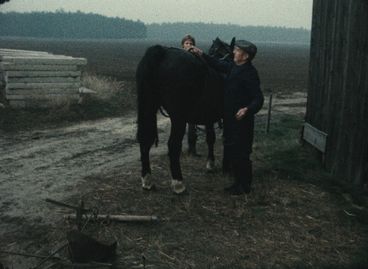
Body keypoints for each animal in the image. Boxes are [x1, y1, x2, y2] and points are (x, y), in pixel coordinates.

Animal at [137, 37, 234, 193]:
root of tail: (162, 52)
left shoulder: (208, 116)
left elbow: (210, 138)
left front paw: (211, 163)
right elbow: (226, 139)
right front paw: (226, 166)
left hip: (148, 106)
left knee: (144, 140)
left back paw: (147, 180)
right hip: (178, 117)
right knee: (173, 144)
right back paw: (178, 183)